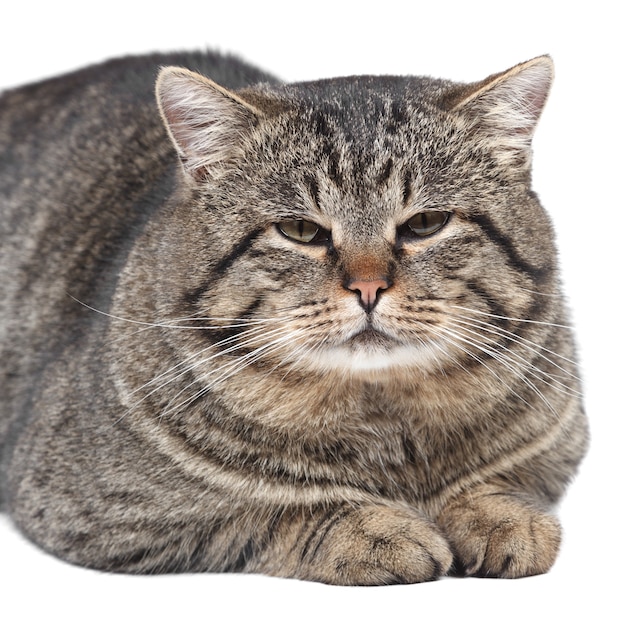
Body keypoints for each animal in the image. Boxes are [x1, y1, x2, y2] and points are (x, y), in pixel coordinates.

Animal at [0, 50, 584, 584]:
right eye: (301, 231)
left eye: (426, 223)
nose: (368, 287)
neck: (385, 426)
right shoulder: (96, 508)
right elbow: (269, 511)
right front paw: (373, 530)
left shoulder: (558, 450)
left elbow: (506, 482)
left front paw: (502, 516)